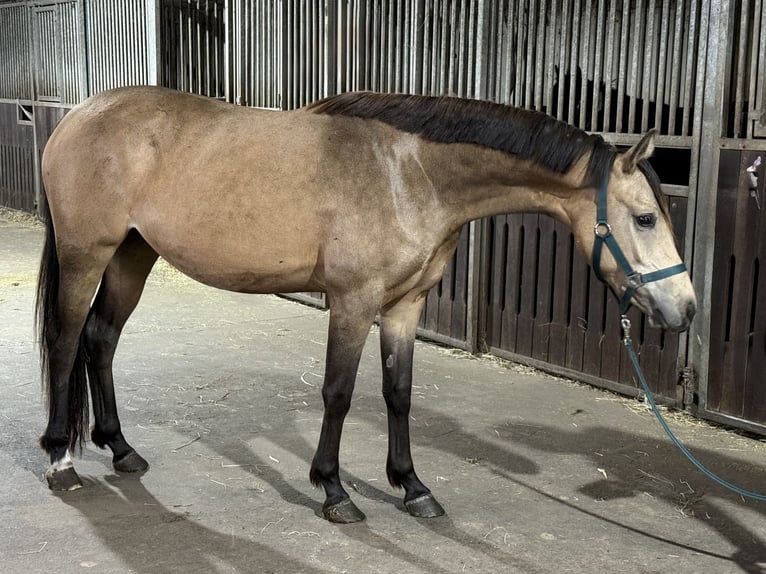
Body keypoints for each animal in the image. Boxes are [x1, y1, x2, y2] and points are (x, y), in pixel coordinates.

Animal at [36, 87, 696, 523]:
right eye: (644, 218)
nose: (685, 310)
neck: (410, 174)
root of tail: (78, 115)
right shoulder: (353, 303)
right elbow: (339, 393)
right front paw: (334, 491)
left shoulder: (405, 306)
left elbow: (398, 393)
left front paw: (413, 487)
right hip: (86, 253)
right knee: (67, 340)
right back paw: (60, 460)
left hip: (132, 254)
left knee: (100, 338)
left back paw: (121, 449)